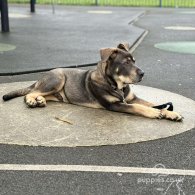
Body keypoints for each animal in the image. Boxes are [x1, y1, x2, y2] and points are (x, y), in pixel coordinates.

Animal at [2, 43, 183, 121]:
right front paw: (154, 113)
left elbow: (153, 103)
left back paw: (39, 100)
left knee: (40, 93)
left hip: (57, 93)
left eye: (134, 61)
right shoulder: (114, 105)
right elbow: (138, 107)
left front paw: (171, 113)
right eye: (126, 63)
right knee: (31, 92)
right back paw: (32, 100)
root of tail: (43, 76)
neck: (117, 86)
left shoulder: (132, 98)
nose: (143, 73)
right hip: (57, 79)